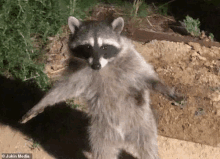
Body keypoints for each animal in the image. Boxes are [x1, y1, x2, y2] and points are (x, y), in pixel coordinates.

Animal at [19, 16, 180, 159]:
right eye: (87, 47)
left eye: (105, 47)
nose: (96, 65)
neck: (104, 66)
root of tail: (122, 137)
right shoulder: (79, 70)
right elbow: (64, 88)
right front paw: (41, 104)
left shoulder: (130, 57)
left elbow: (144, 74)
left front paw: (161, 86)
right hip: (101, 131)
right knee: (103, 151)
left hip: (143, 124)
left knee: (147, 147)